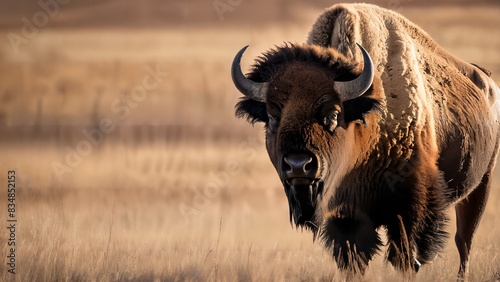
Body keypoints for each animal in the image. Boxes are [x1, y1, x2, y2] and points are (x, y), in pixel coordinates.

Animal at [232, 2, 500, 278]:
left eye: (333, 114)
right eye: (272, 116)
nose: (298, 165)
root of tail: (488, 82)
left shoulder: (409, 204)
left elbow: (405, 256)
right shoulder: (346, 215)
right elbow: (352, 257)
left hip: (482, 183)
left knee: (463, 241)